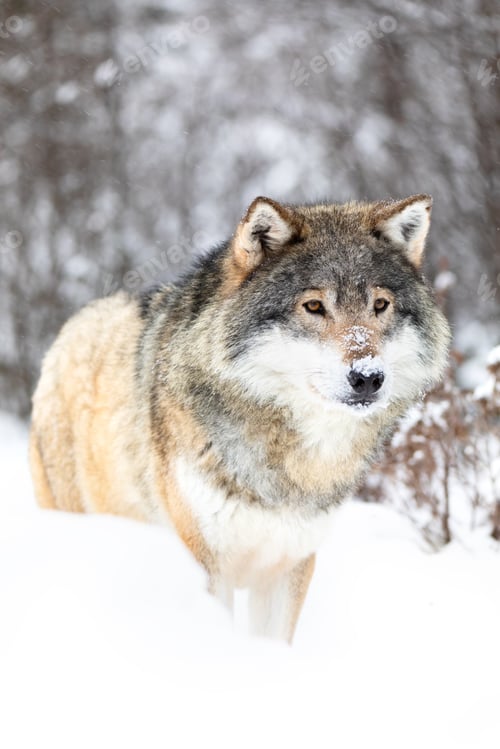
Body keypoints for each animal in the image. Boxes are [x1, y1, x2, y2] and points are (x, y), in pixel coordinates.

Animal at [30, 194, 450, 643]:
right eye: (314, 306)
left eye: (380, 305)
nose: (368, 377)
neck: (290, 464)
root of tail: (73, 325)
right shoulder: (207, 564)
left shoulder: (290, 565)